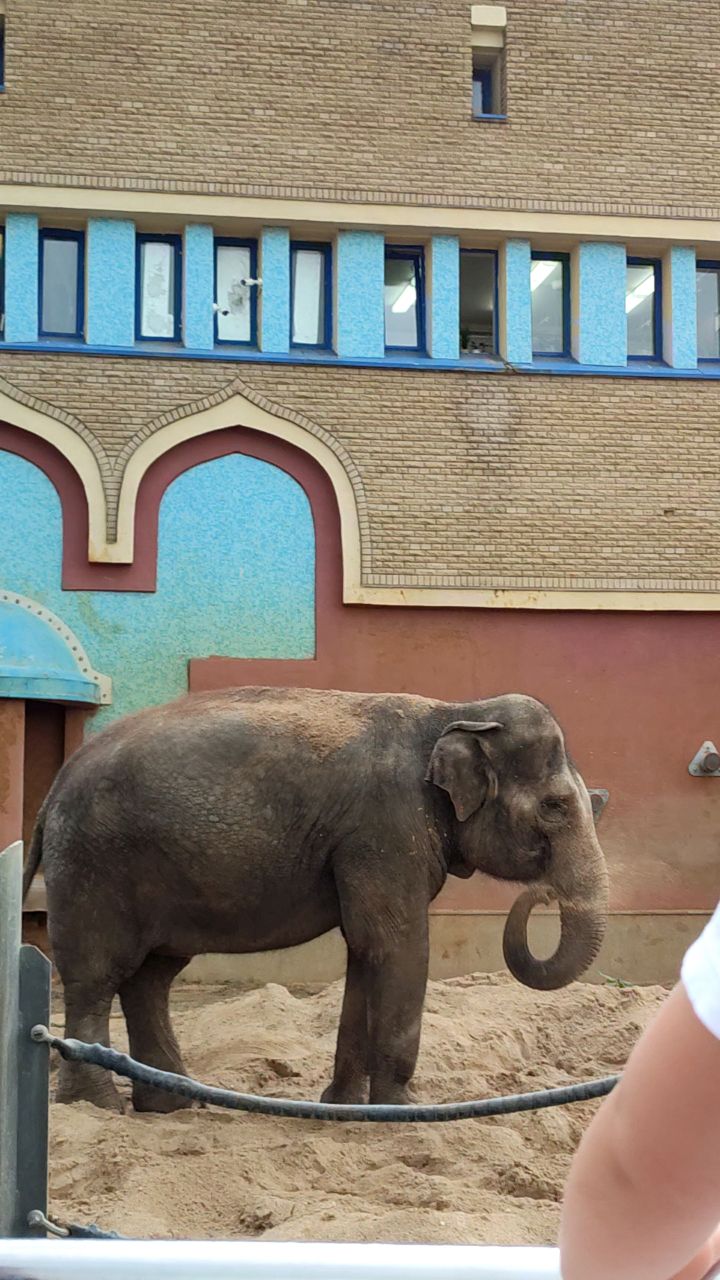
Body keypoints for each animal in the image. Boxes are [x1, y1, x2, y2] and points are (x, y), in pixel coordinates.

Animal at [23, 686, 609, 1113]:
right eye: (556, 806)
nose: (541, 894)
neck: (455, 711)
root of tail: (52, 790)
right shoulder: (385, 826)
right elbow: (396, 944)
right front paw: (403, 1112)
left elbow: (364, 948)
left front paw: (344, 1108)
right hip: (94, 864)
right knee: (97, 976)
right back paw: (96, 1107)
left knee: (151, 978)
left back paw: (173, 1106)